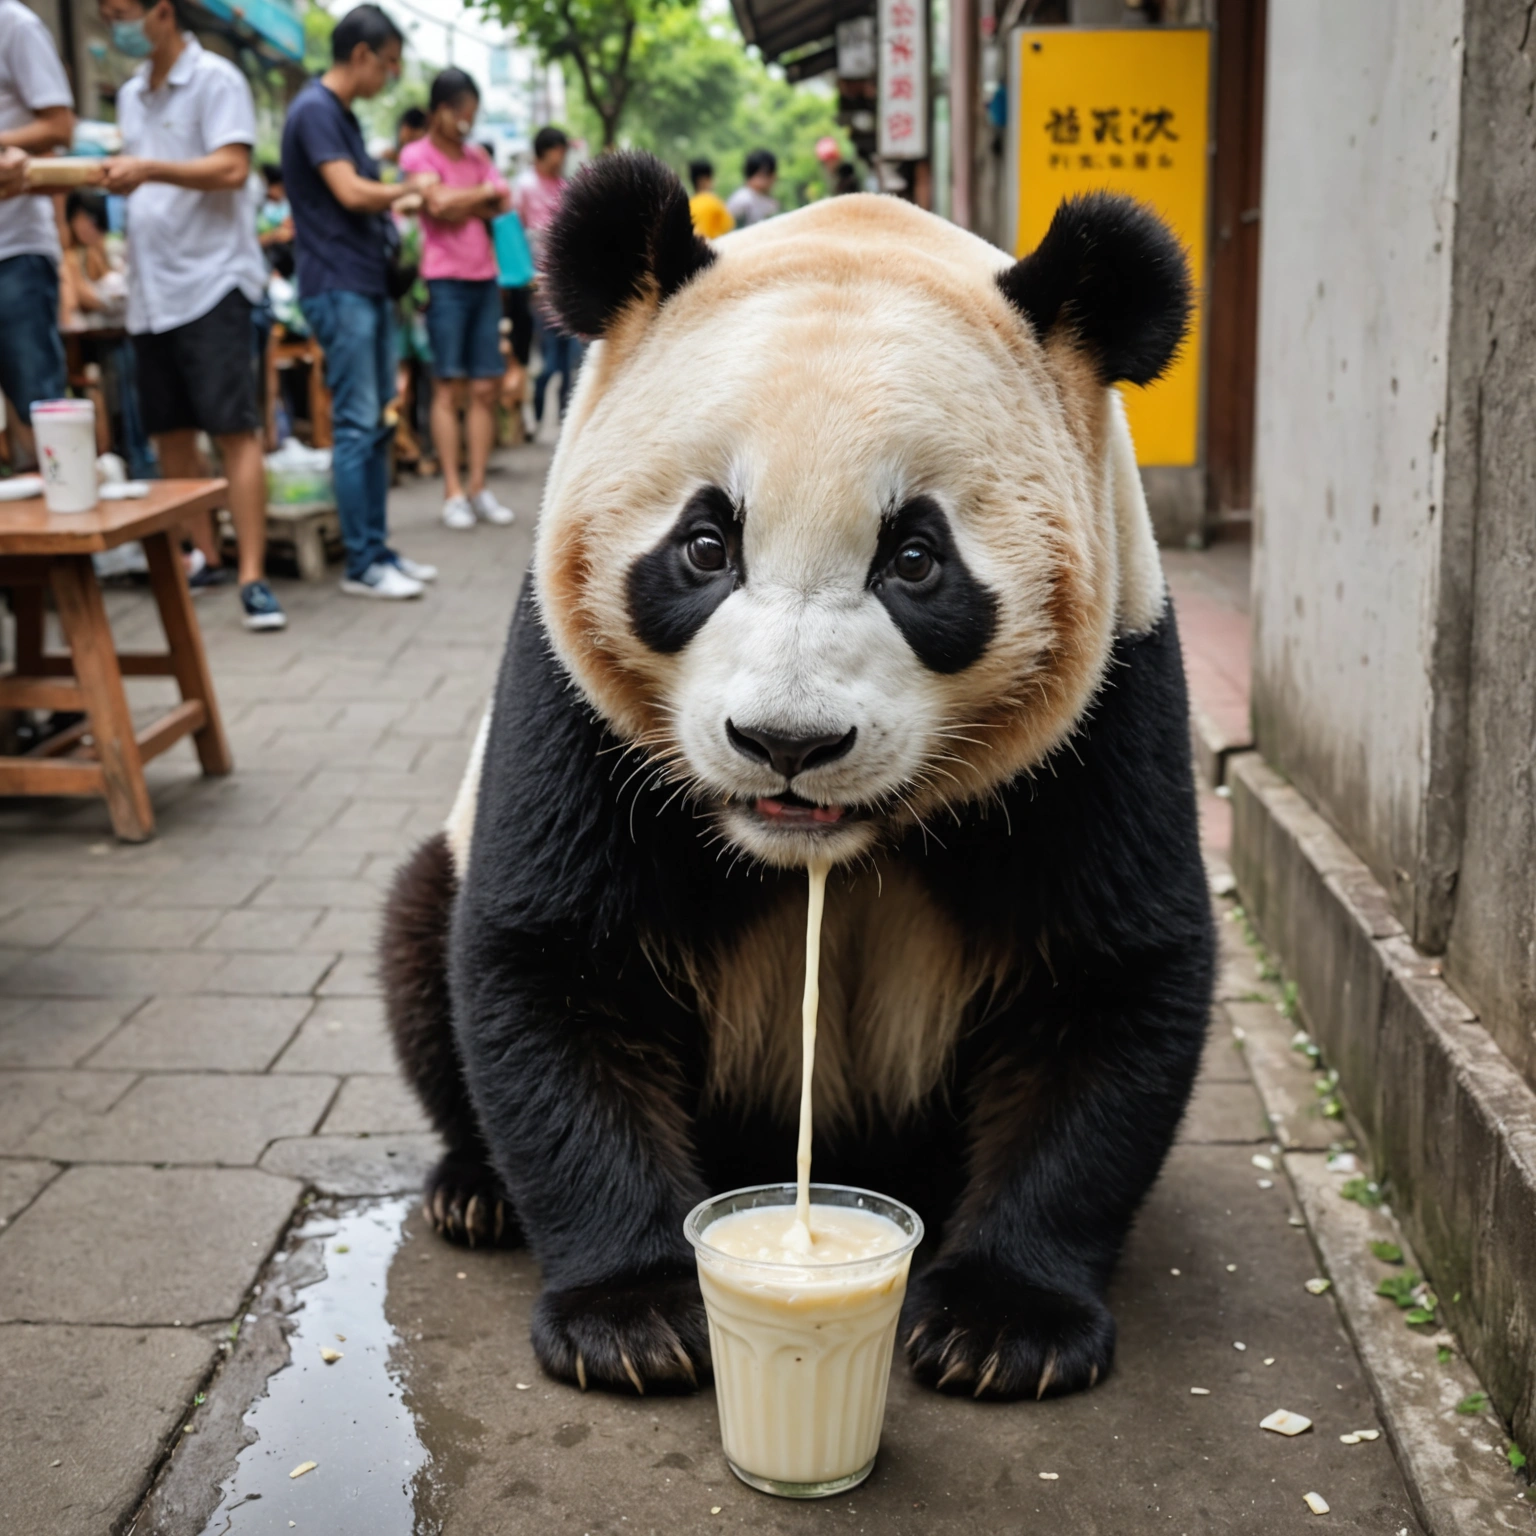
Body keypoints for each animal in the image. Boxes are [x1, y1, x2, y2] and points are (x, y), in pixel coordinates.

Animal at [380, 155, 1210, 1406]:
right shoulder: (573, 703)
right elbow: (553, 955)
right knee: (421, 938)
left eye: (916, 558)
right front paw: (635, 1318)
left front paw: (1000, 1326)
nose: (786, 743)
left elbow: (1109, 976)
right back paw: (473, 1192)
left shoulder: (1112, 701)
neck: (825, 848)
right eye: (704, 545)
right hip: (449, 859)